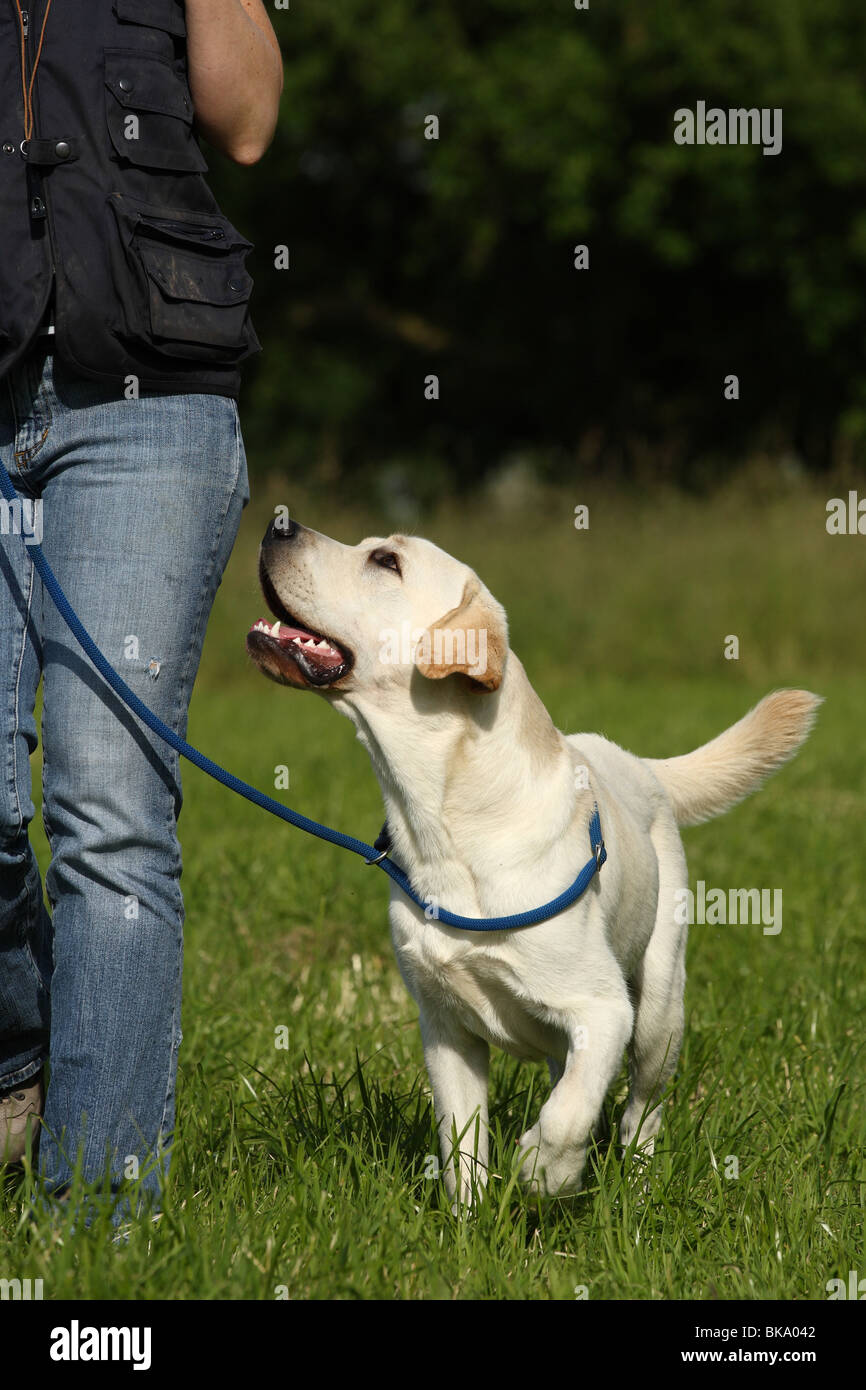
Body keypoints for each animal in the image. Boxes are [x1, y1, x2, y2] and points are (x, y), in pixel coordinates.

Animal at [247, 522, 822, 1206]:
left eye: (386, 560)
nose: (278, 524)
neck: (445, 827)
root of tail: (641, 764)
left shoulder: (604, 1010)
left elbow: (569, 1114)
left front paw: (545, 1172)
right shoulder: (446, 1028)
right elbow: (462, 1145)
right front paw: (470, 1221)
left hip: (659, 1010)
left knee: (641, 1110)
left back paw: (637, 1185)